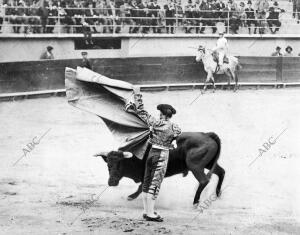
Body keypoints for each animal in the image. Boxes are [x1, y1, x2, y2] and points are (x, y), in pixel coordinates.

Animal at [96, 131, 225, 205]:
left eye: (120, 164)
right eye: (108, 165)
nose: (111, 182)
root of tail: (207, 135)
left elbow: (141, 186)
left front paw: (131, 197)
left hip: (195, 166)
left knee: (204, 180)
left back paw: (195, 201)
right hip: (208, 164)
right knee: (221, 172)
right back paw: (218, 194)